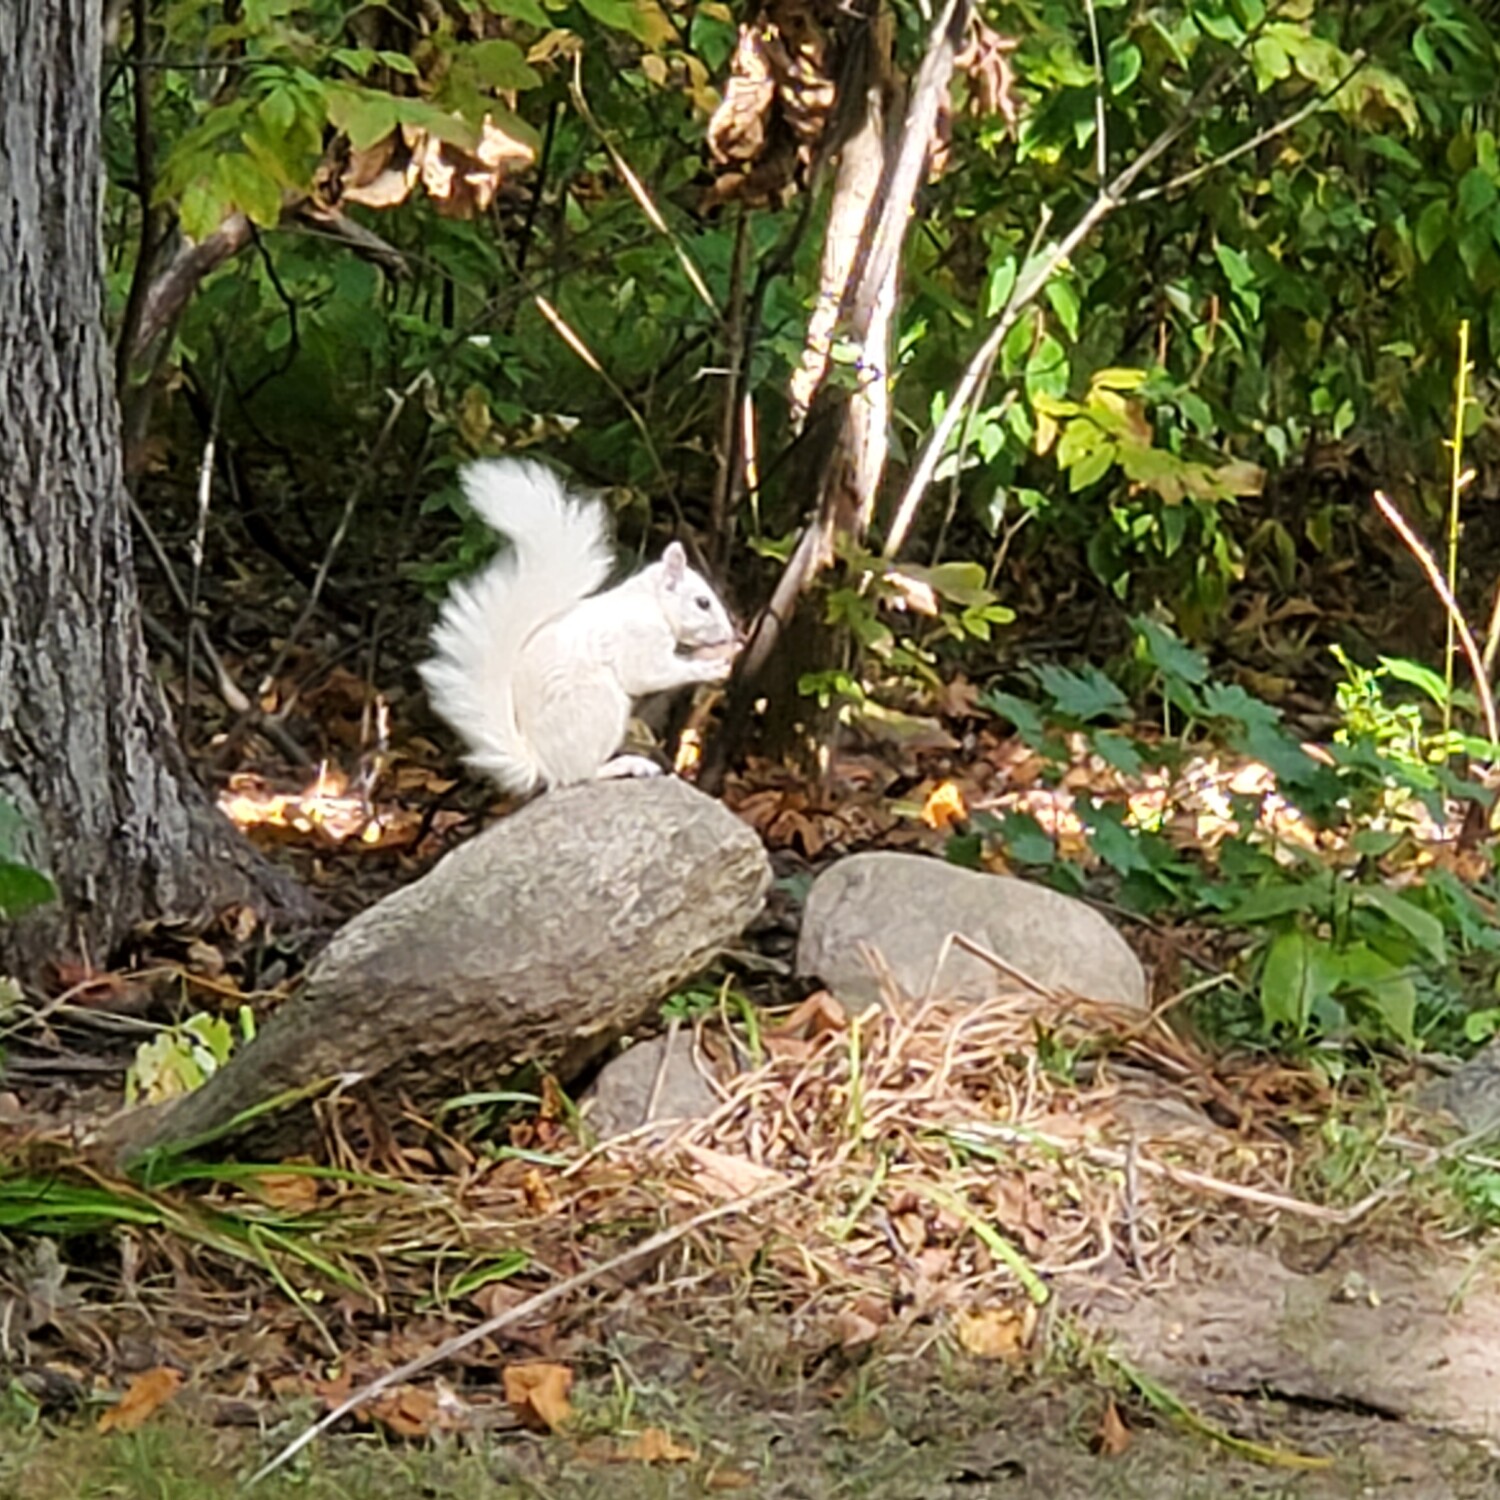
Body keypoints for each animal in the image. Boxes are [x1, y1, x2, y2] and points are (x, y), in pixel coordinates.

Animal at [419, 459, 739, 795]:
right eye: (703, 602)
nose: (731, 634)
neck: (650, 601)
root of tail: (542, 764)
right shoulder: (638, 637)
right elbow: (649, 674)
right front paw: (708, 668)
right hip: (601, 705)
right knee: (580, 775)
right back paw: (626, 765)